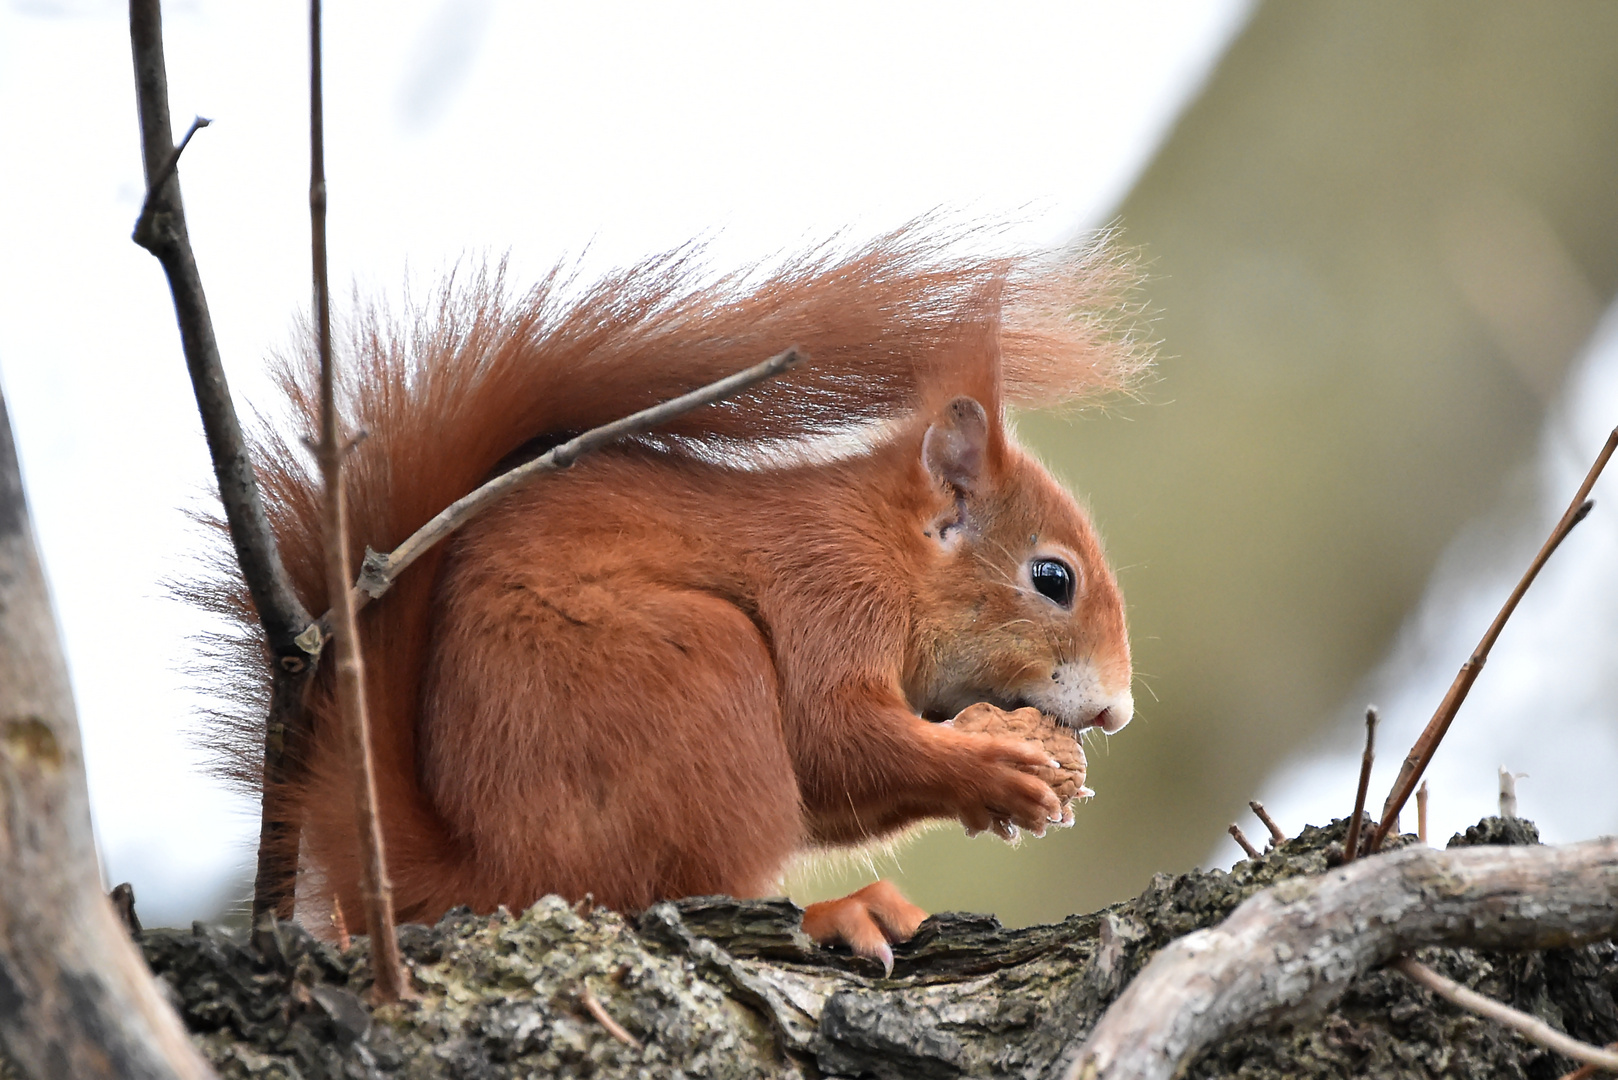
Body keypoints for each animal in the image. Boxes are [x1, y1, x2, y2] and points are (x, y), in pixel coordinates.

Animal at [195, 227, 1144, 966]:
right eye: (1052, 579)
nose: (1118, 714)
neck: (884, 547)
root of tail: (482, 873)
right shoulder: (828, 593)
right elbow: (832, 736)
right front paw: (997, 768)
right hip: (698, 672)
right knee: (676, 893)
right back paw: (833, 913)